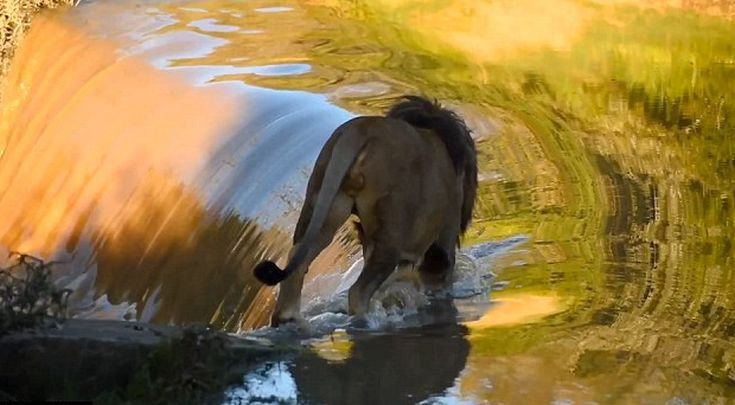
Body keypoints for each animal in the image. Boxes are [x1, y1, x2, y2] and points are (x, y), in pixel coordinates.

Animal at [256, 94, 480, 326]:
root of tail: (360, 131)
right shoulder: (444, 243)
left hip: (325, 209)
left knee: (297, 262)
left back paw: (288, 318)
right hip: (390, 234)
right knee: (358, 291)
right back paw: (367, 319)